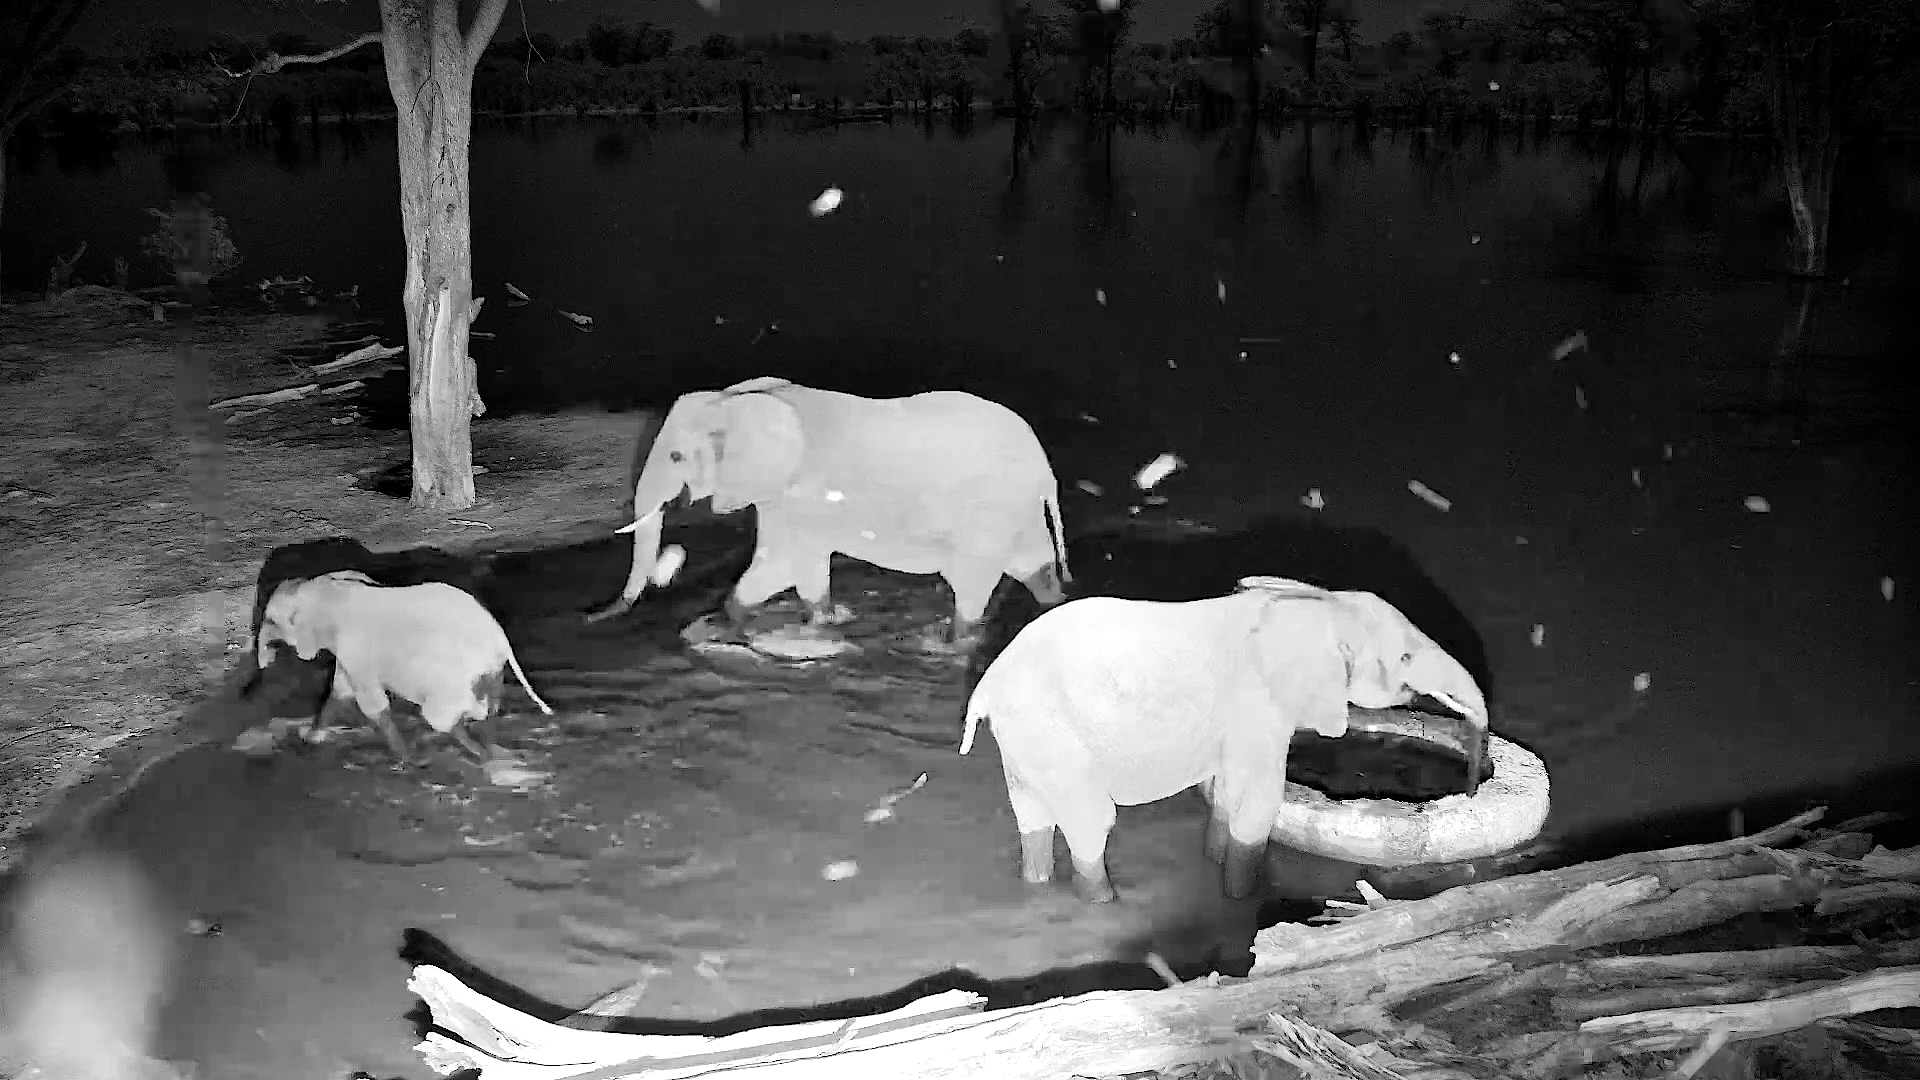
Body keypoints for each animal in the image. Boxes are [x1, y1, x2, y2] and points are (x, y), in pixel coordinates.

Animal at [257, 571, 552, 765]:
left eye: (271, 620)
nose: (265, 664)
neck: (328, 590)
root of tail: (500, 639)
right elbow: (340, 690)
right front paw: (312, 738)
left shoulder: (356, 648)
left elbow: (371, 702)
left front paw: (407, 759)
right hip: (486, 671)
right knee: (488, 707)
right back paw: (486, 746)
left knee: (450, 712)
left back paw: (475, 748)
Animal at [584, 376, 1071, 649]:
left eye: (676, 457)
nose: (591, 616)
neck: (739, 402)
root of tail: (1045, 466)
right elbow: (795, 567)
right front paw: (821, 623)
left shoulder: (803, 491)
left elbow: (784, 561)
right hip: (1014, 512)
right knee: (1035, 566)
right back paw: (1054, 604)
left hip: (986, 515)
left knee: (970, 584)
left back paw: (952, 643)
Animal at [959, 576, 1489, 903]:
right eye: (1404, 659)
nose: (1472, 784)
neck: (1319, 606)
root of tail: (985, 686)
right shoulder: (1260, 706)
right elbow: (1258, 801)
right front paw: (1242, 900)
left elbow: (1229, 793)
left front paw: (1214, 864)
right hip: (1049, 730)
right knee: (1091, 820)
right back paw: (1104, 900)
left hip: (1027, 737)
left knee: (1033, 816)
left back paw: (1036, 883)